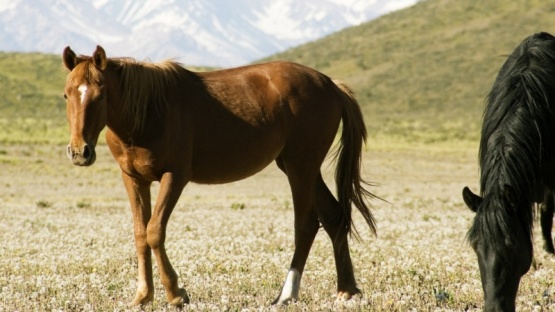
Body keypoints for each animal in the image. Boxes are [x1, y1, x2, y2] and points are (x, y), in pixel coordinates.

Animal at [63, 46, 380, 308]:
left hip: (300, 166)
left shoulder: (174, 176)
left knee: (306, 225)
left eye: (101, 94)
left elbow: (155, 231)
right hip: (301, 167)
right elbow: (141, 234)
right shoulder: (133, 179)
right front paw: (143, 295)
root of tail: (331, 85)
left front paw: (175, 293)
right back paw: (347, 290)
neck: (149, 112)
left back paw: (286, 294)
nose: (79, 152)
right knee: (334, 216)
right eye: (66, 94)